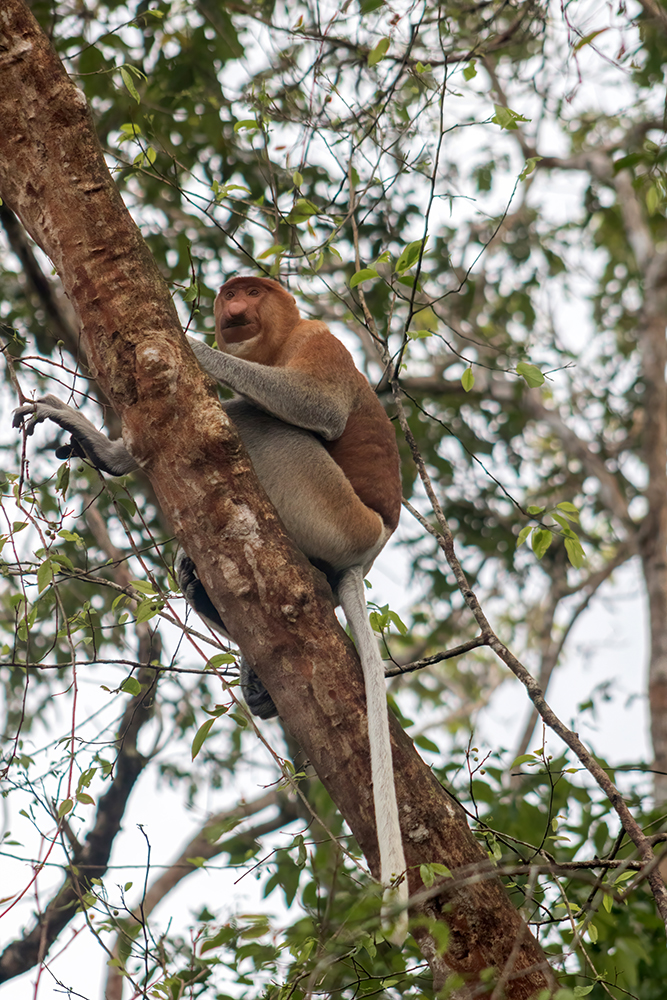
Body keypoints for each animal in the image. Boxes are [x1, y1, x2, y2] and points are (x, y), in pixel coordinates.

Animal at [13, 276, 408, 943]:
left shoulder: (318, 340)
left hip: (327, 507)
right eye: (231, 295)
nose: (232, 311)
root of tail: (369, 546)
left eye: (251, 291)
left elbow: (319, 408)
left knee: (251, 417)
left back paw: (122, 458)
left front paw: (191, 346)